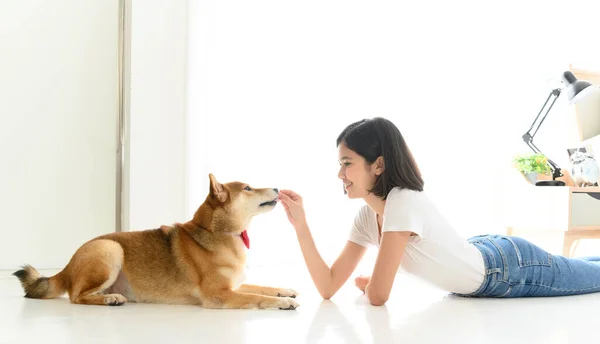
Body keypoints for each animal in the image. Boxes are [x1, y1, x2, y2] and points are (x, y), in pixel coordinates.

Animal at [11, 173, 298, 310]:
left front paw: (284, 290)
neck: (217, 231)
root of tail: (69, 264)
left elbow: (260, 286)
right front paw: (283, 303)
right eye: (248, 188)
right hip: (110, 250)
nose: (277, 187)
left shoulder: (234, 285)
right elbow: (256, 296)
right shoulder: (219, 294)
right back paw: (110, 299)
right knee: (77, 297)